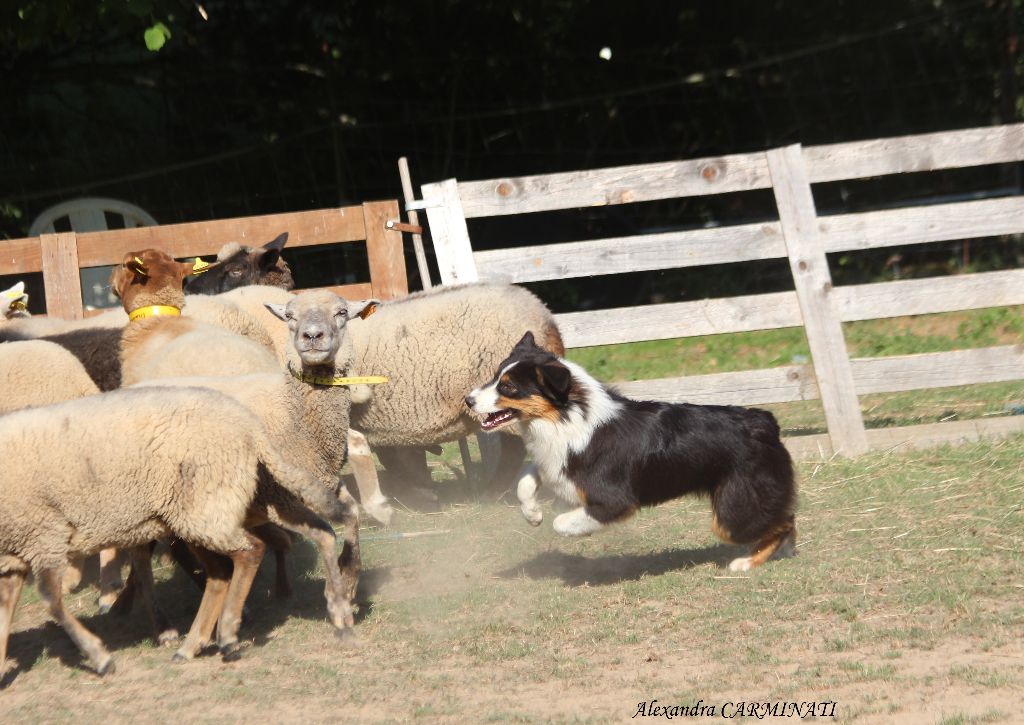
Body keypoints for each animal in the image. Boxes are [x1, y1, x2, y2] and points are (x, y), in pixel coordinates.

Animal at [0, 387, 352, 675]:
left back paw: (227, 634)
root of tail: (248, 424)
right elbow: (5, 613)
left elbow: (51, 601)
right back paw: (339, 615)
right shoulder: (14, 556)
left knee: (250, 551)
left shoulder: (43, 536)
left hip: (204, 508)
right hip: (234, 502)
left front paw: (99, 657)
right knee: (313, 534)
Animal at [466, 331, 798, 573]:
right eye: (494, 377)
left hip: (733, 512)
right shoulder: (556, 462)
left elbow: (561, 522)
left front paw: (576, 528)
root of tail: (763, 421)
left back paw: (747, 562)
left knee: (784, 523)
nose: (467, 400)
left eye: (508, 388)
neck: (566, 416)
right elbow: (525, 478)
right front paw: (532, 514)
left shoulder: (615, 500)